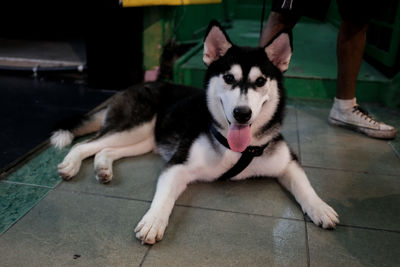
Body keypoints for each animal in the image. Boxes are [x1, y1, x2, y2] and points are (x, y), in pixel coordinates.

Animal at [50, 20, 338, 245]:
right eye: (229, 78)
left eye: (260, 81)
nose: (242, 113)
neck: (237, 149)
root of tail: (133, 86)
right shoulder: (177, 165)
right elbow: (164, 197)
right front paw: (153, 221)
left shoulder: (287, 161)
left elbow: (304, 185)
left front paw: (320, 207)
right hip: (133, 126)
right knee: (85, 144)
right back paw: (71, 165)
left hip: (145, 139)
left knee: (106, 149)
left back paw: (103, 167)